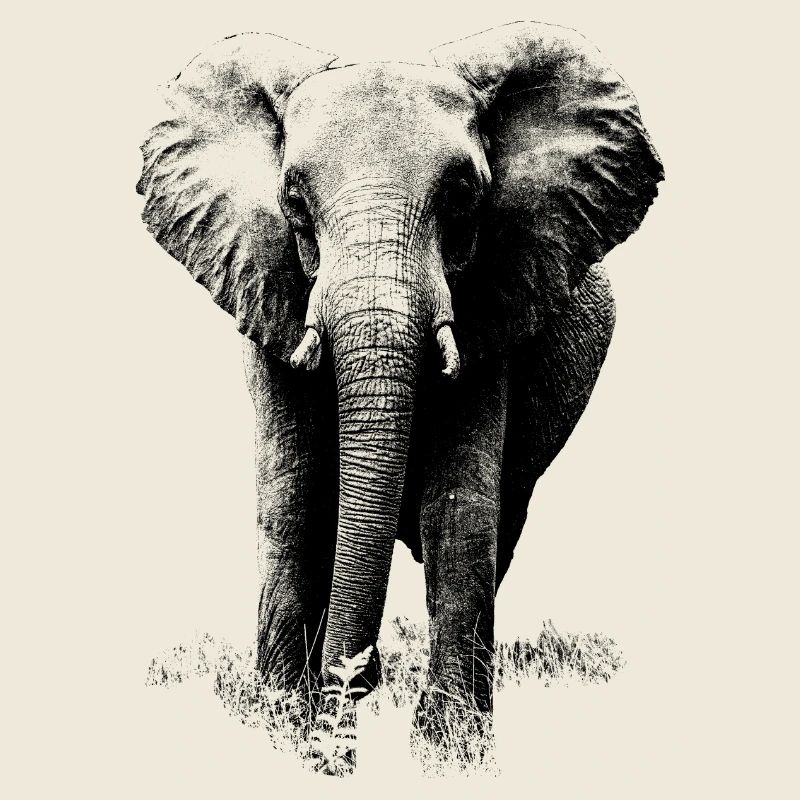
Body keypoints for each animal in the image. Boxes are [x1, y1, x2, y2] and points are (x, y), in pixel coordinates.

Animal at [136, 21, 663, 761]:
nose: (357, 683)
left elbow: (458, 507)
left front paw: (449, 752)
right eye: (293, 204)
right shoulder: (267, 284)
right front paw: (285, 735)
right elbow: (297, 498)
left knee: (503, 526)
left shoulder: (493, 299)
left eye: (464, 199)